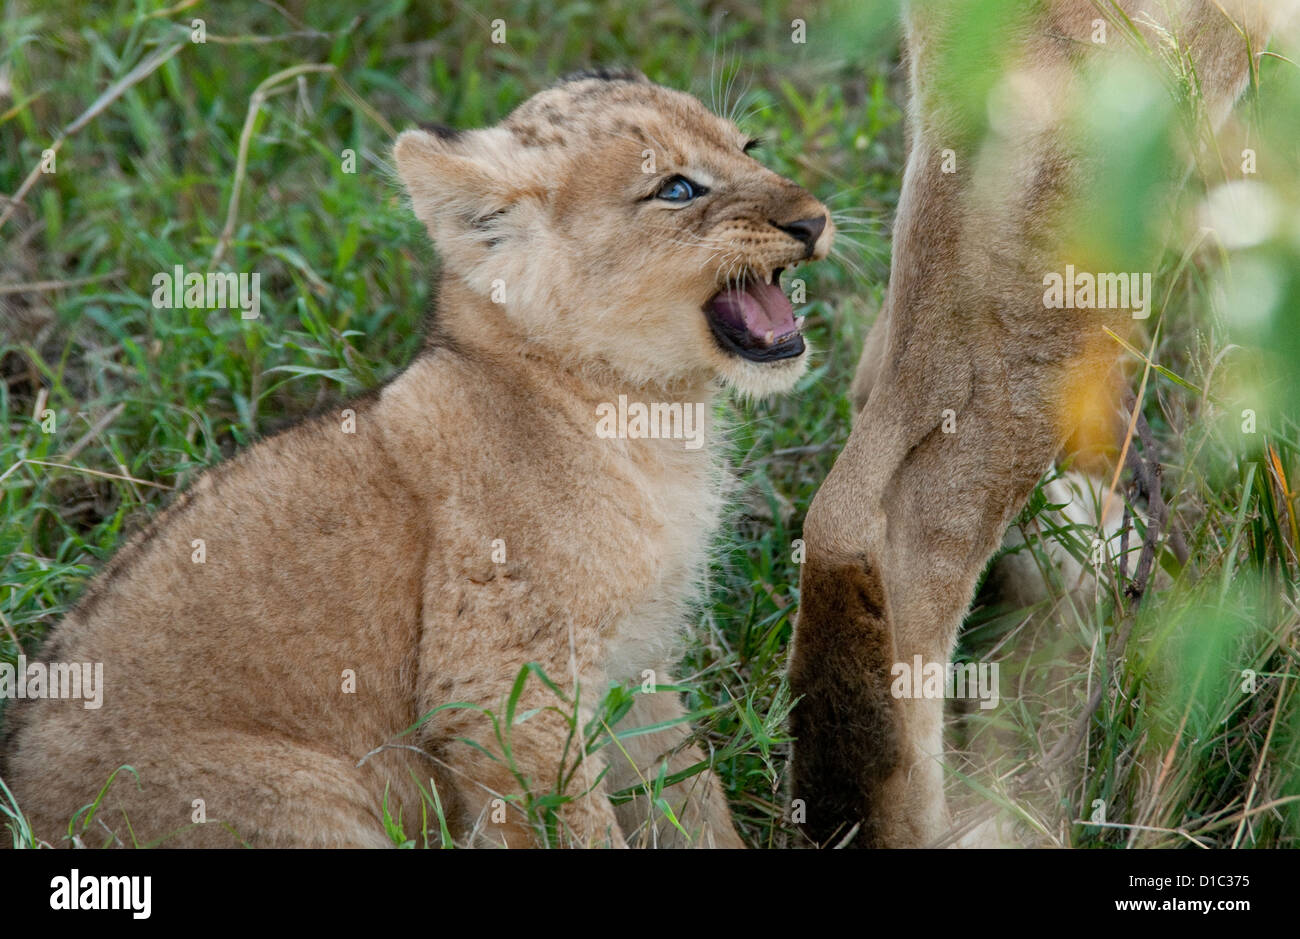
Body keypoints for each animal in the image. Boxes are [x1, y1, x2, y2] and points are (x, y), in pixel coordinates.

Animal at [1, 69, 832, 848]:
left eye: (749, 147)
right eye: (677, 189)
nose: (815, 219)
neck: (653, 418)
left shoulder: (635, 662)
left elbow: (685, 793)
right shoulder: (503, 692)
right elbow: (580, 823)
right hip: (302, 803)